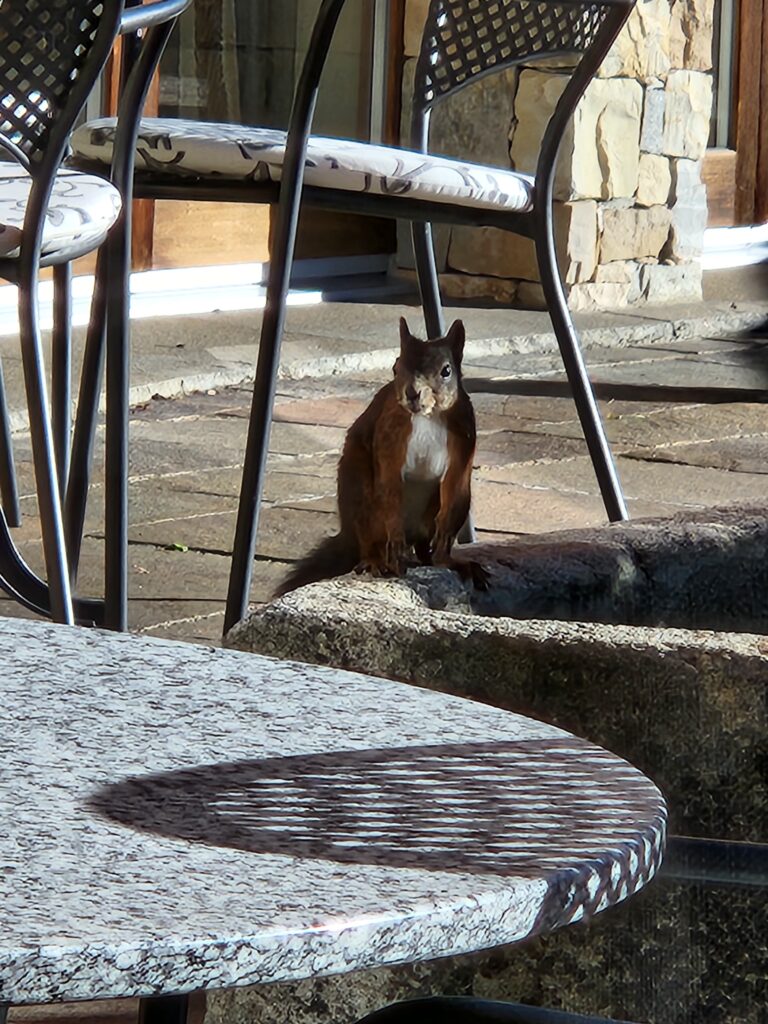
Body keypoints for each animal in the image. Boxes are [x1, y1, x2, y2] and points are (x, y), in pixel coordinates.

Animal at [275, 316, 488, 597]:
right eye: (396, 368)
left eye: (446, 371)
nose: (412, 393)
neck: (427, 416)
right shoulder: (390, 440)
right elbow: (390, 489)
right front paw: (395, 551)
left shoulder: (463, 443)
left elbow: (452, 494)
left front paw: (449, 561)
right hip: (361, 494)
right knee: (371, 539)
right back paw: (378, 560)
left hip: (431, 513)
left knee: (425, 545)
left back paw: (427, 558)